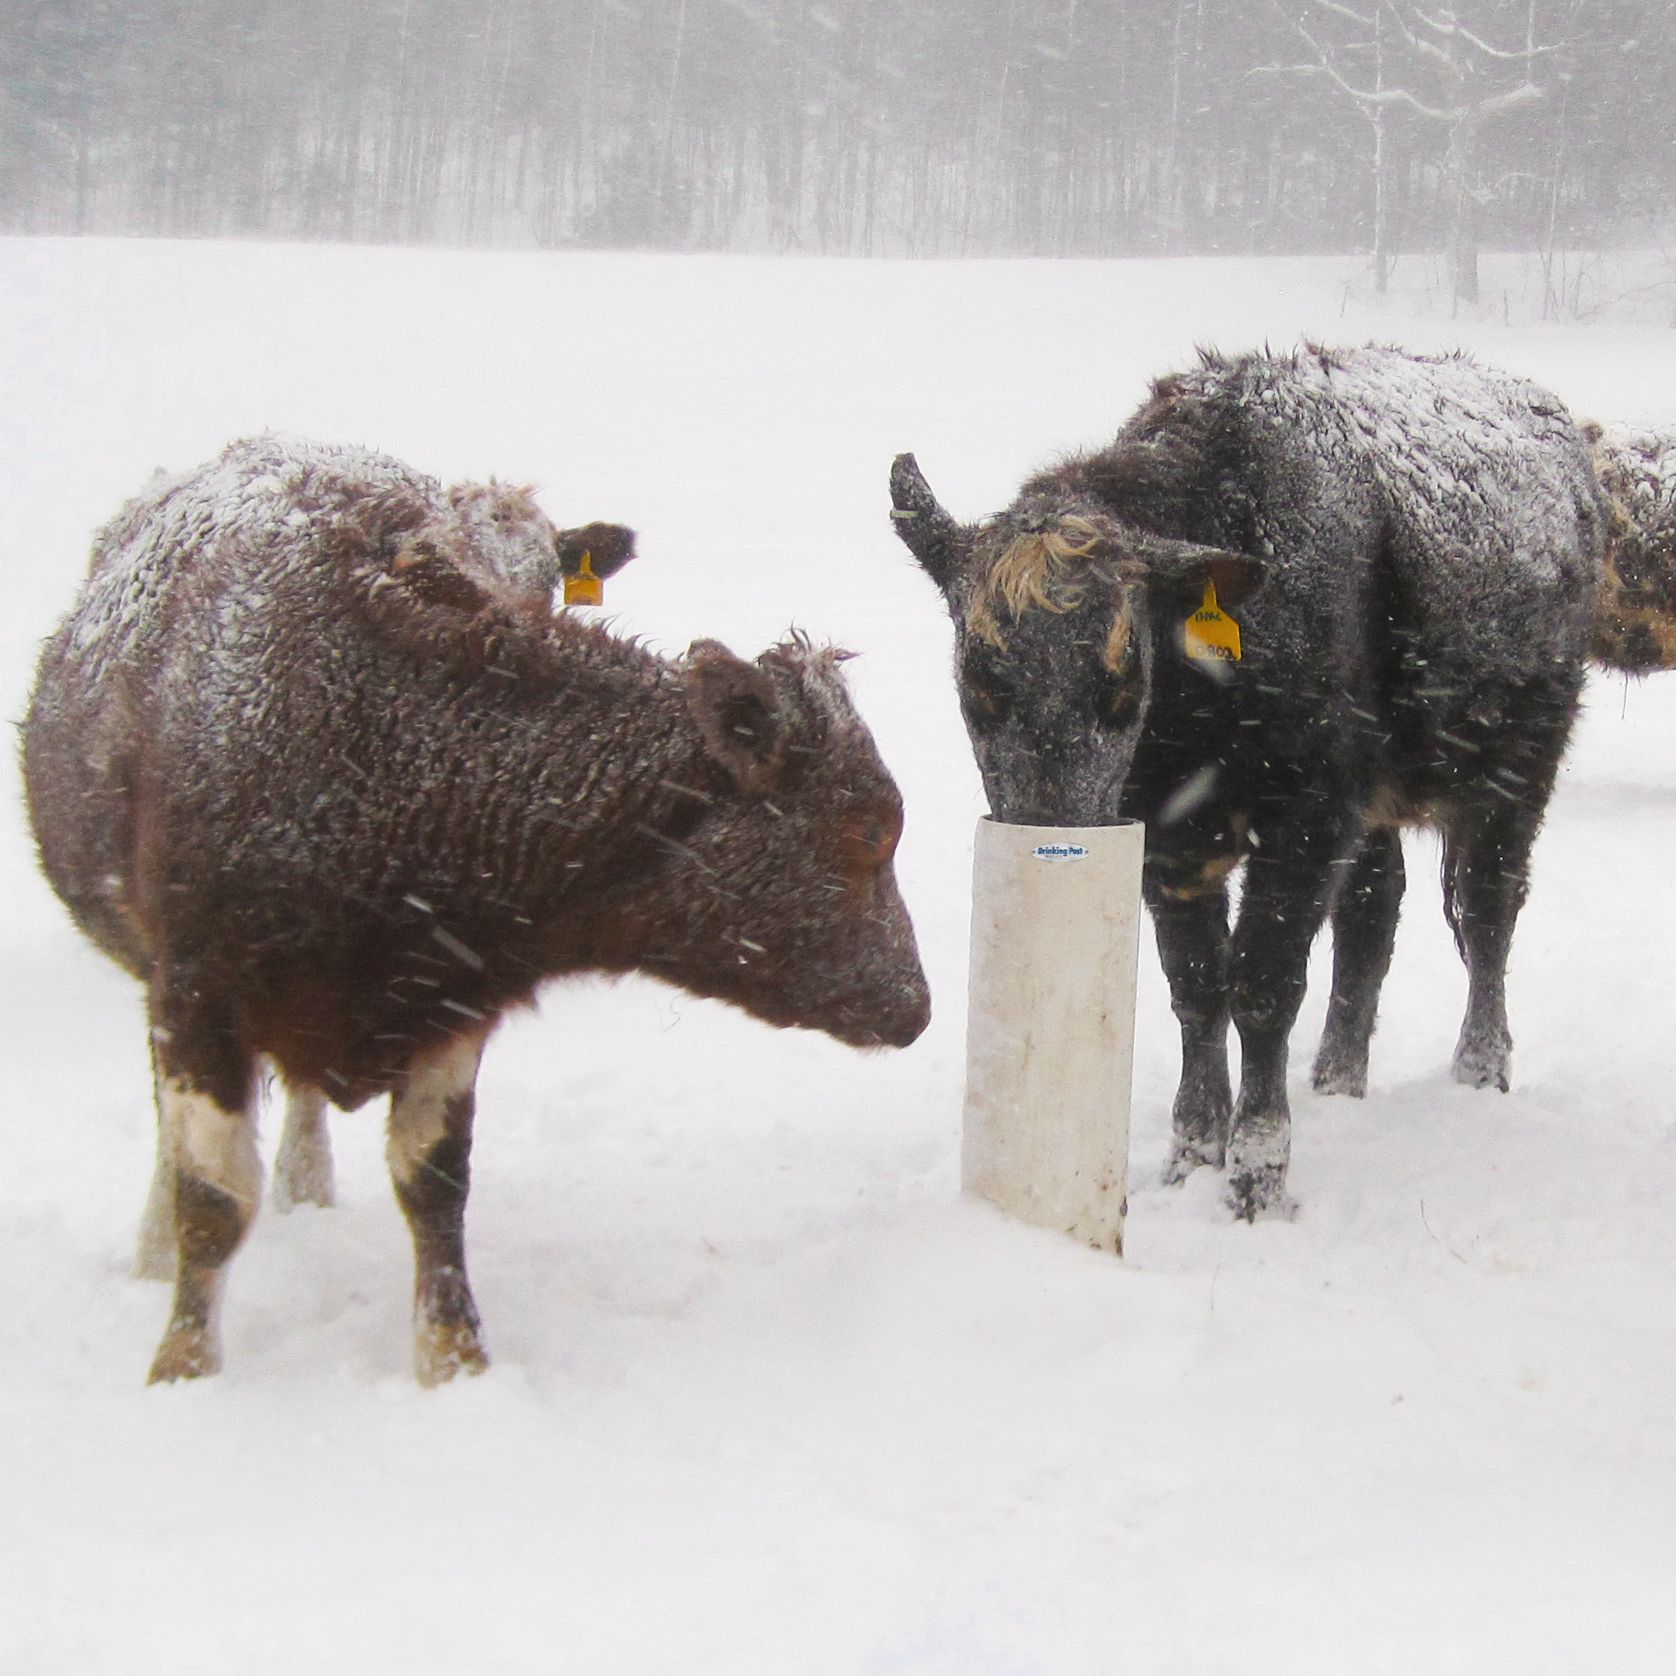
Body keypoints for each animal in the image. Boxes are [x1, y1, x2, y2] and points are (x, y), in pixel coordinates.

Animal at [22, 435, 931, 1387]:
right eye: (870, 830)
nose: (915, 1006)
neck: (383, 760)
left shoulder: (452, 1005)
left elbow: (434, 1186)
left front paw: (454, 1361)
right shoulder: (196, 998)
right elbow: (212, 1196)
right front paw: (183, 1363)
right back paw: (155, 1244)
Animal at [891, 346, 1608, 1213]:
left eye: (1122, 683)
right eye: (979, 684)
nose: (1053, 837)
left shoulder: (1302, 823)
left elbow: (1263, 986)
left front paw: (1257, 1177)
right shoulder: (1174, 842)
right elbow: (1197, 988)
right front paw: (1193, 1153)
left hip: (1518, 768)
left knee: (1488, 906)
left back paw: (1479, 1070)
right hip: (1376, 803)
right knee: (1375, 909)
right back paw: (1337, 1079)